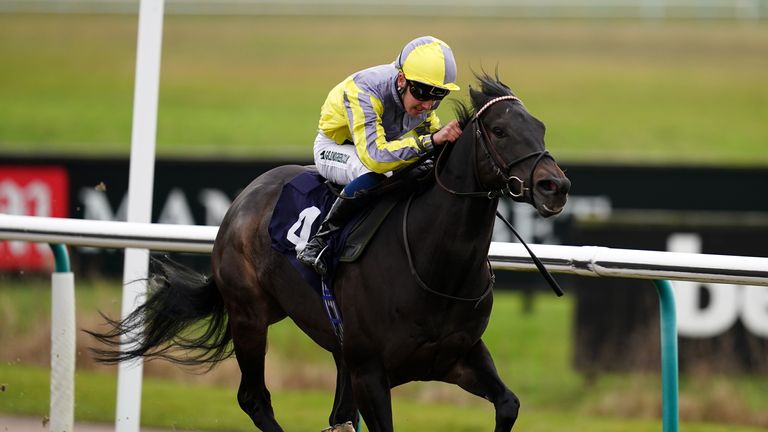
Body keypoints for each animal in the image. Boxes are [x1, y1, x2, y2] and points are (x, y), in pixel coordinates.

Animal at [90, 72, 568, 430]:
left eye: (541, 127)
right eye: (500, 131)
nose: (555, 186)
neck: (434, 265)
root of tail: (242, 200)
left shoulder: (458, 357)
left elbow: (508, 404)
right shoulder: (370, 372)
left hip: (334, 349)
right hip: (250, 317)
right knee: (254, 399)